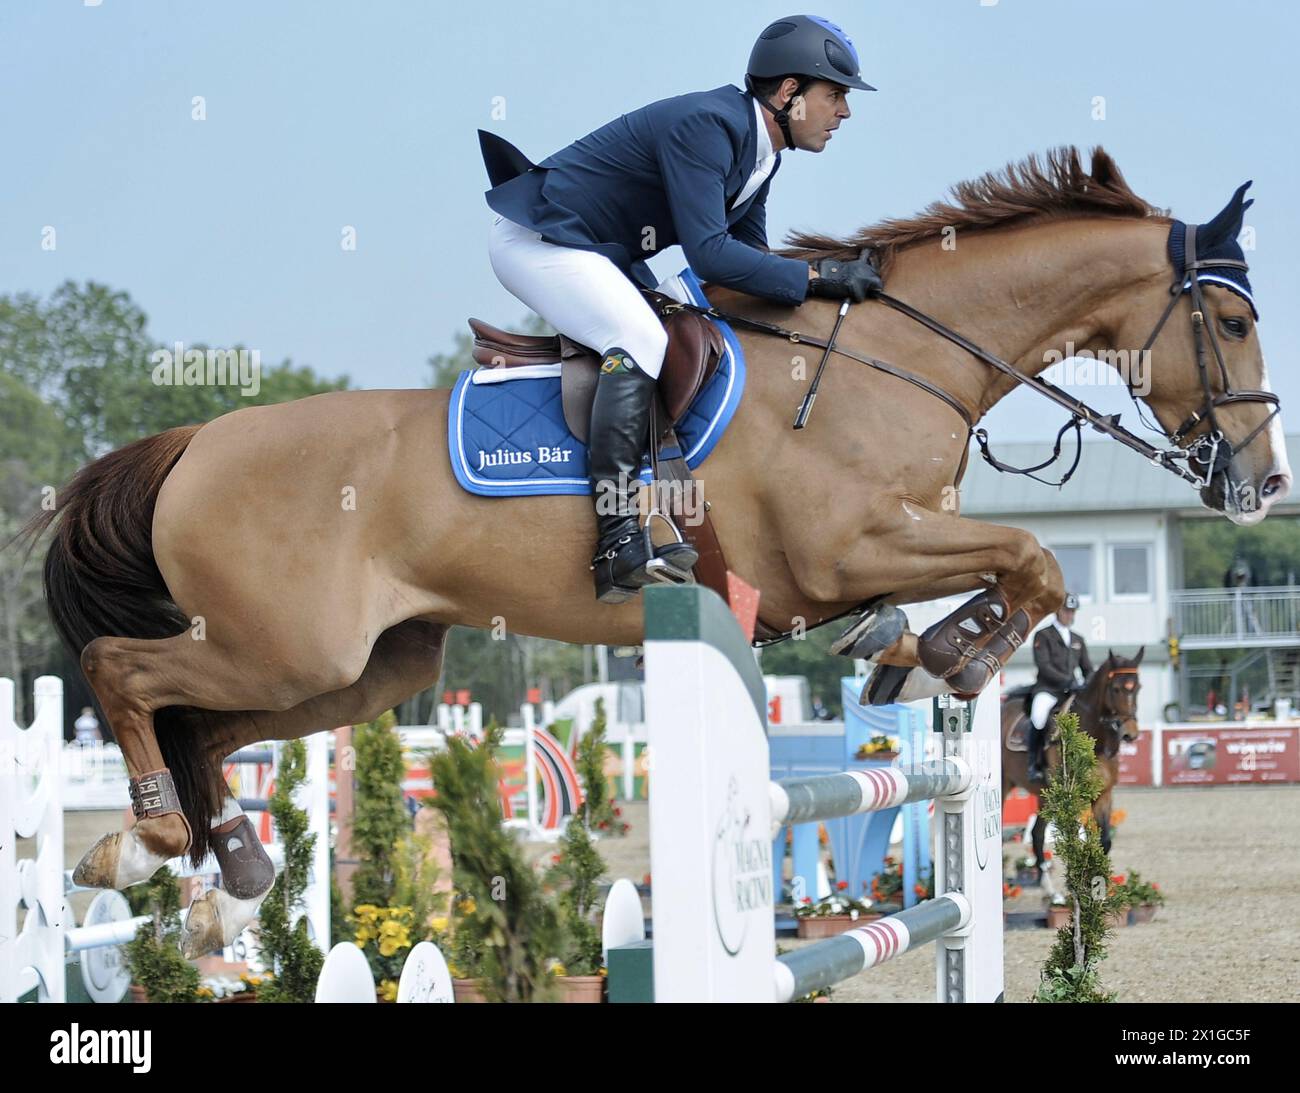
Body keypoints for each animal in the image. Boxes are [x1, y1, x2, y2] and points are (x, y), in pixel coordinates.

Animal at [998, 644, 1144, 868]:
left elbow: (1104, 843)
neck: (1095, 745)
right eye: (1116, 689)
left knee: (1037, 835)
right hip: (1006, 784)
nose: (1130, 734)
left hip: (1044, 796)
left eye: (1137, 688)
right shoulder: (1071, 798)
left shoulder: (1104, 794)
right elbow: (1073, 843)